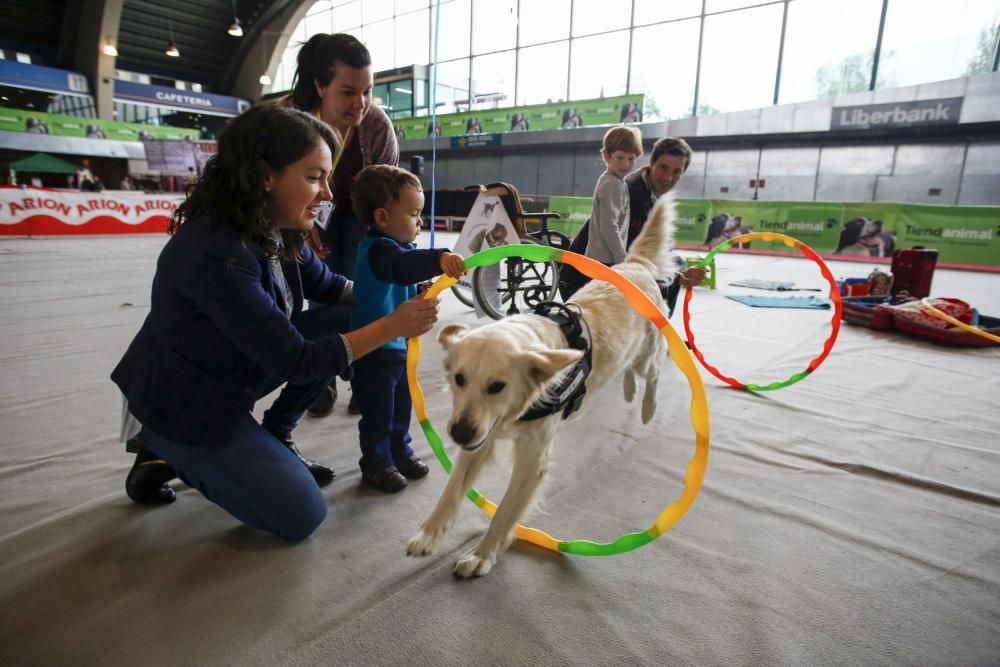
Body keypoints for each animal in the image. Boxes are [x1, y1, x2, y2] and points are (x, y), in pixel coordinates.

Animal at [406, 194, 680, 580]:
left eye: (497, 386)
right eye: (459, 379)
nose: (458, 434)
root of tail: (634, 266)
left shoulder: (531, 458)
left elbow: (505, 512)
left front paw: (481, 555)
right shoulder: (481, 438)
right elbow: (451, 491)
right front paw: (428, 536)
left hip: (647, 352)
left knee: (652, 372)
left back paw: (647, 409)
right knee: (629, 372)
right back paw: (628, 392)